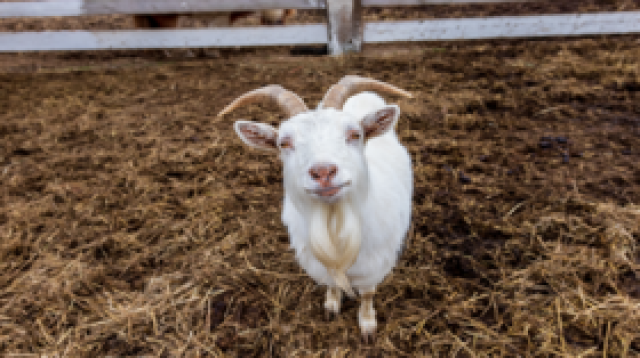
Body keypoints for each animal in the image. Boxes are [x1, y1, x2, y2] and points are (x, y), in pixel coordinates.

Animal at [218, 75, 412, 342]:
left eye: (355, 134)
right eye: (283, 143)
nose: (323, 171)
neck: (334, 222)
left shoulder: (375, 266)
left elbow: (367, 294)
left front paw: (368, 325)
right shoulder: (318, 263)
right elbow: (331, 283)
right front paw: (331, 306)